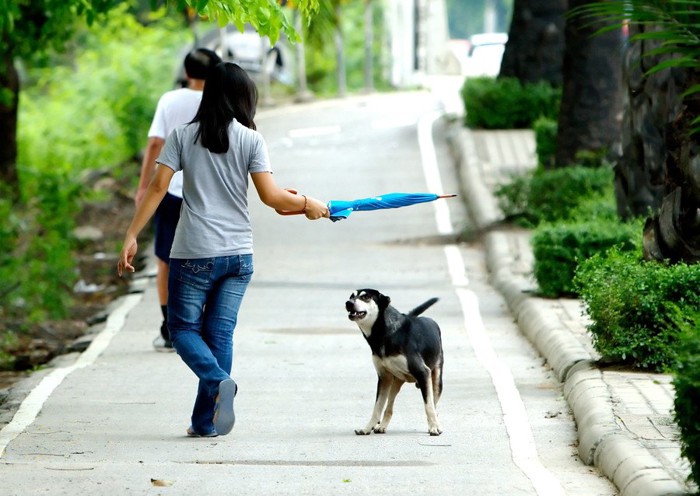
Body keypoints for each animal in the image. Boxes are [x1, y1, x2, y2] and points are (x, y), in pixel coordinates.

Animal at [344, 288, 442, 436]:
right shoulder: (383, 378)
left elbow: (429, 405)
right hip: (394, 382)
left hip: (436, 379)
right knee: (388, 408)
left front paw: (434, 427)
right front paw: (367, 428)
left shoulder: (423, 373)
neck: (385, 332)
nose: (348, 303)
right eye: (351, 296)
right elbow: (377, 408)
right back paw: (381, 426)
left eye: (366, 297)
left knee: (434, 402)